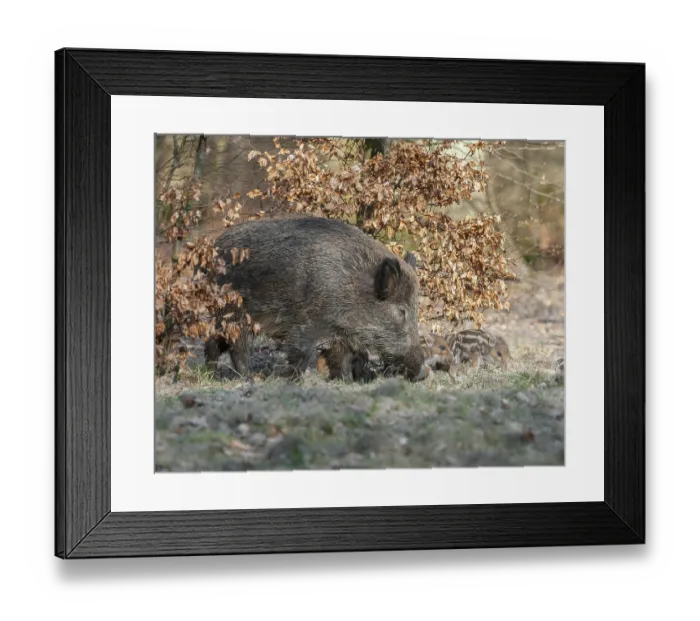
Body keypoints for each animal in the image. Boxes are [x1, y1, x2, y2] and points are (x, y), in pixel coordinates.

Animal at [204, 216, 426, 381]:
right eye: (401, 311)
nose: (421, 373)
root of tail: (214, 248)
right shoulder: (306, 321)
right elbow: (302, 352)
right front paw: (293, 380)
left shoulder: (341, 334)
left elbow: (341, 359)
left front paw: (343, 380)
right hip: (233, 313)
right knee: (236, 346)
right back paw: (247, 377)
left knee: (213, 343)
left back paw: (212, 374)